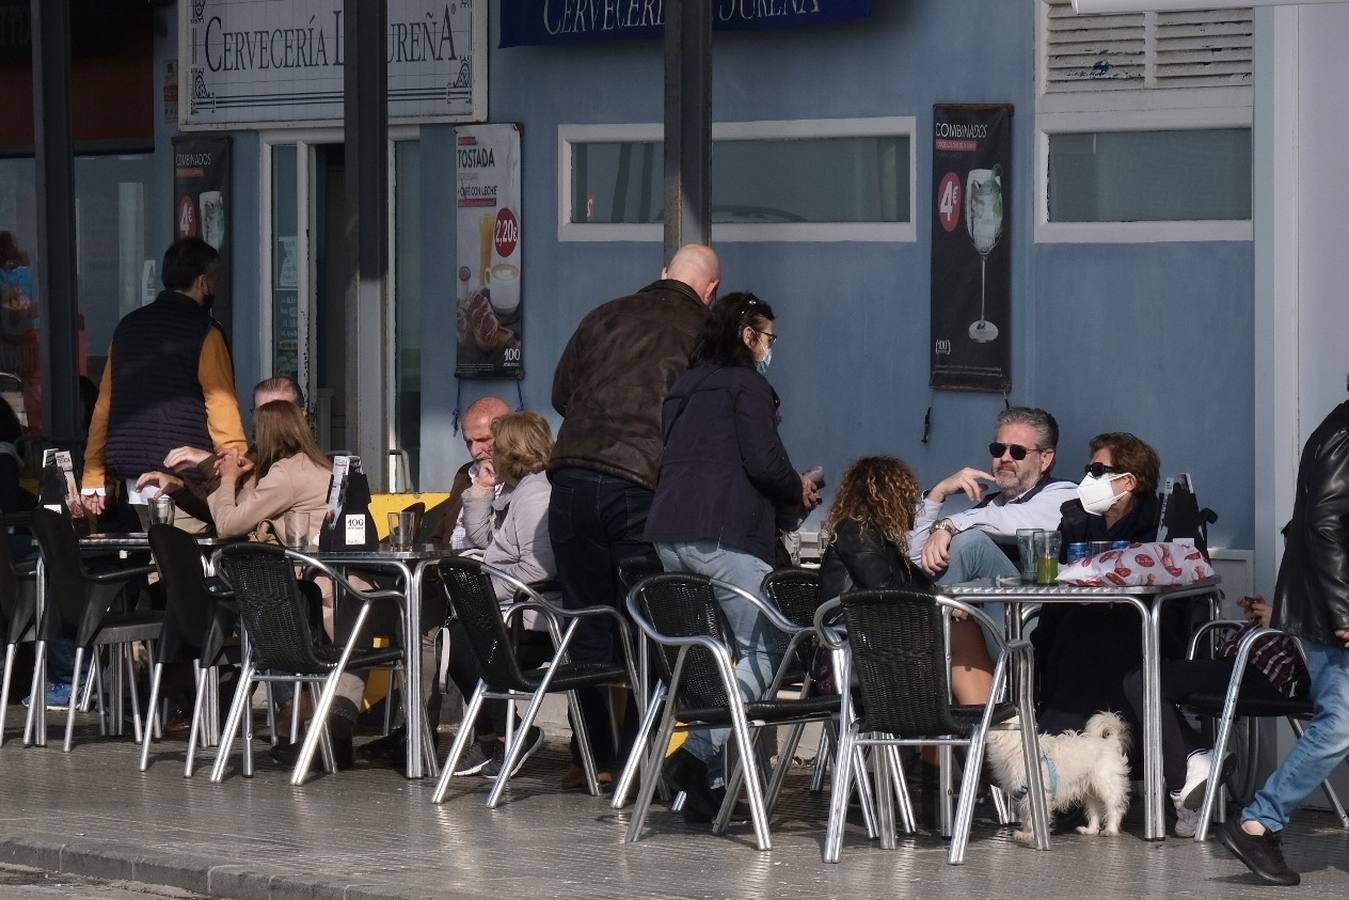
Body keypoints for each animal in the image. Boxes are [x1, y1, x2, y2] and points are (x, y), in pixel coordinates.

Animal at [982, 712, 1127, 847]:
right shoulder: (1023, 794)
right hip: (1089, 790)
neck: (1016, 744)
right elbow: (1027, 816)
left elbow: (1033, 816)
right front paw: (1027, 833)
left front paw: (1031, 835)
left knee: (1114, 808)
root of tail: (1110, 742)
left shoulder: (1035, 793)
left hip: (1106, 785)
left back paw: (1110, 830)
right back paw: (1090, 830)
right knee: (1094, 811)